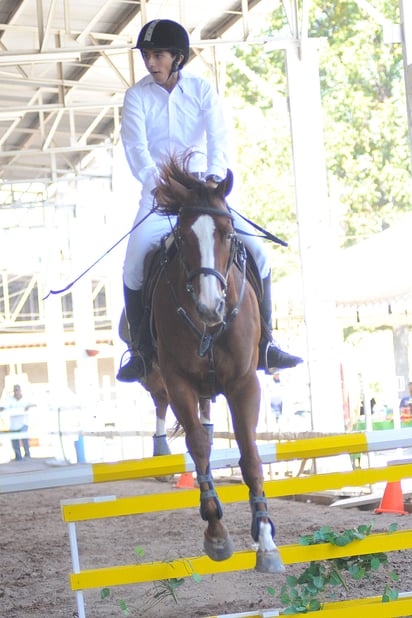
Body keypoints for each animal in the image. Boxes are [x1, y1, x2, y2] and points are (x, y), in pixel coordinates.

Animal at [143, 155, 284, 572]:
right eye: (184, 238)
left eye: (226, 232)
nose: (210, 307)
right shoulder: (178, 382)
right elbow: (200, 448)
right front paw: (217, 532)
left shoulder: (244, 383)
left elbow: (250, 456)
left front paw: (266, 538)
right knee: (173, 414)